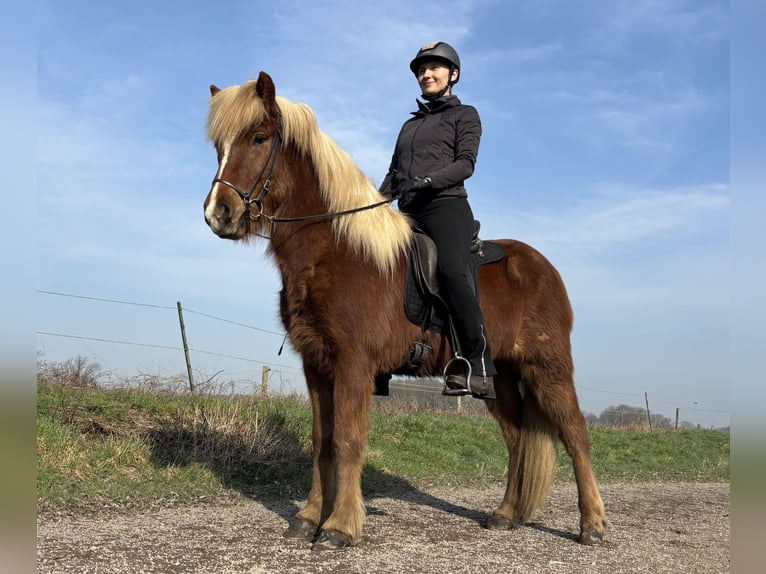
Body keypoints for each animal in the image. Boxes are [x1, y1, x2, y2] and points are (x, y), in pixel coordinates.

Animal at [202, 71, 606, 551]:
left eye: (259, 138)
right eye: (218, 145)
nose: (218, 214)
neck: (336, 249)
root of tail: (543, 267)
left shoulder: (354, 363)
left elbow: (348, 440)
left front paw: (339, 526)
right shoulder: (316, 364)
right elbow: (322, 441)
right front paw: (308, 517)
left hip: (549, 367)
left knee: (576, 435)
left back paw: (592, 523)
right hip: (500, 375)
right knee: (517, 439)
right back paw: (506, 514)